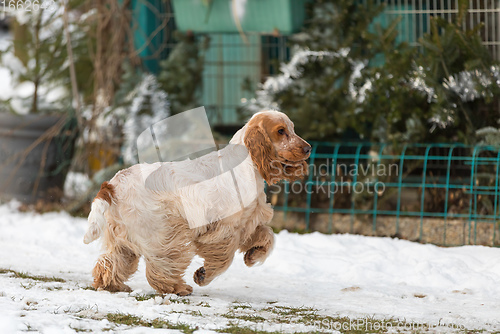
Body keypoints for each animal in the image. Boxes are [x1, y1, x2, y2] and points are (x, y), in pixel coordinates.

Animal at [84, 109, 310, 294]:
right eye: (281, 131)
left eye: (292, 128)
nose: (308, 148)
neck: (247, 164)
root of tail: (113, 183)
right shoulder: (224, 228)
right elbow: (224, 258)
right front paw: (203, 275)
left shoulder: (247, 222)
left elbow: (268, 236)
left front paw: (253, 255)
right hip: (163, 234)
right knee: (161, 267)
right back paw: (178, 288)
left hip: (125, 238)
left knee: (110, 262)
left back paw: (112, 285)